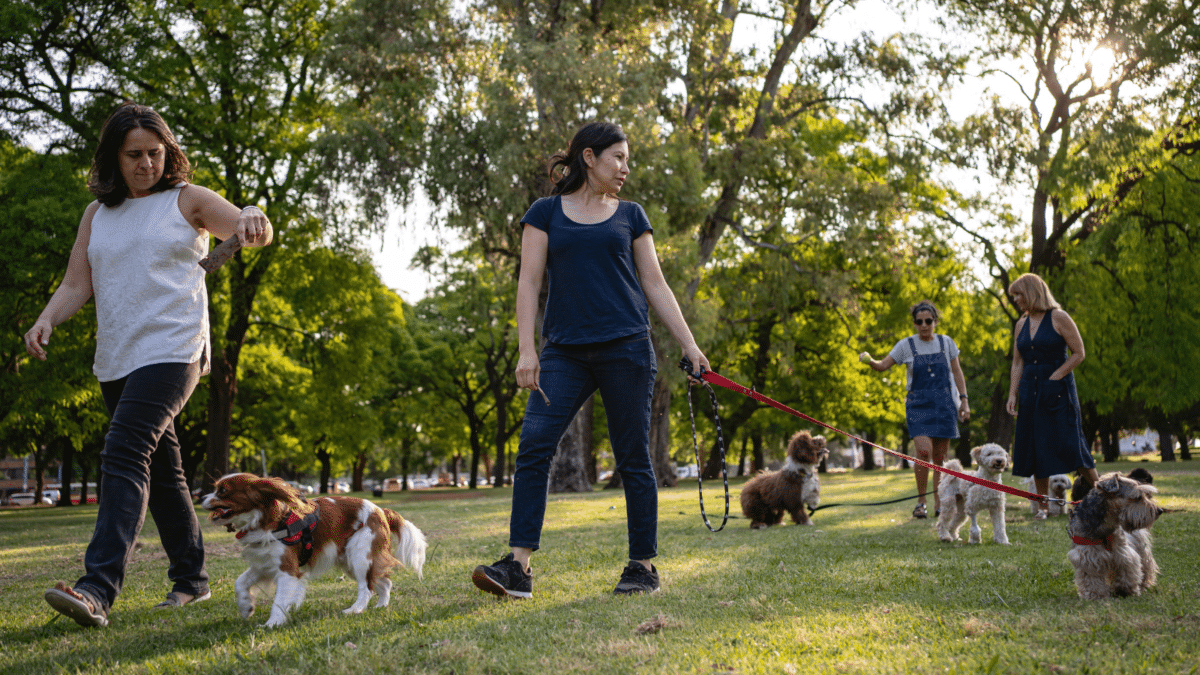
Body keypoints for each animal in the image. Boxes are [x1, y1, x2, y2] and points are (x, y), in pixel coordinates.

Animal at [204, 473, 429, 624]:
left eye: (222, 491)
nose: (201, 498)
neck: (269, 521)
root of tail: (381, 510)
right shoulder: (263, 563)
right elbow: (240, 582)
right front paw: (246, 607)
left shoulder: (288, 570)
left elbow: (279, 600)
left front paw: (272, 623)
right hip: (349, 560)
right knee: (383, 582)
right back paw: (381, 605)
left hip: (359, 556)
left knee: (367, 587)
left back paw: (355, 610)